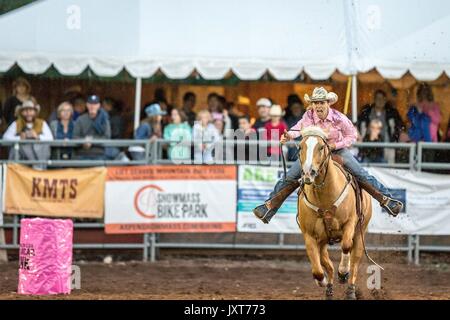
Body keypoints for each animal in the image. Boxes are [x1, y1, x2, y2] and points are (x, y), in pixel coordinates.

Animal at [296, 125, 372, 300]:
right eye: (300, 147)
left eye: (321, 147)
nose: (308, 173)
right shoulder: (309, 235)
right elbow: (317, 270)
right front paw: (321, 281)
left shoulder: (350, 223)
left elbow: (346, 246)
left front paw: (343, 272)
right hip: (323, 241)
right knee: (327, 264)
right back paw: (329, 288)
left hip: (360, 232)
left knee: (354, 260)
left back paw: (350, 289)